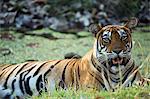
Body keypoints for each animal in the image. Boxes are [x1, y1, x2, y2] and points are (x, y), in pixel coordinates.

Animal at [0, 17, 149, 98]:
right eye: (107, 39)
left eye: (123, 37)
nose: (118, 51)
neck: (116, 72)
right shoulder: (91, 89)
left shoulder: (139, 81)